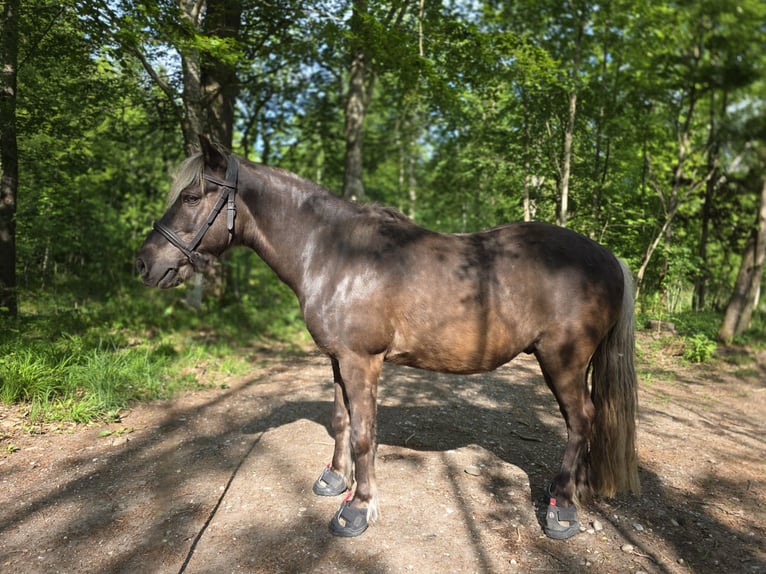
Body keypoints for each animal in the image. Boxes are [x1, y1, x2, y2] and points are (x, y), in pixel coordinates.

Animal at [136, 136, 640, 540]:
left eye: (192, 195)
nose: (144, 263)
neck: (333, 253)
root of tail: (608, 257)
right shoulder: (338, 359)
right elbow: (341, 420)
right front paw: (335, 481)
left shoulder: (362, 360)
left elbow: (364, 434)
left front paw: (357, 510)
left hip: (562, 359)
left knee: (581, 419)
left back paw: (562, 509)